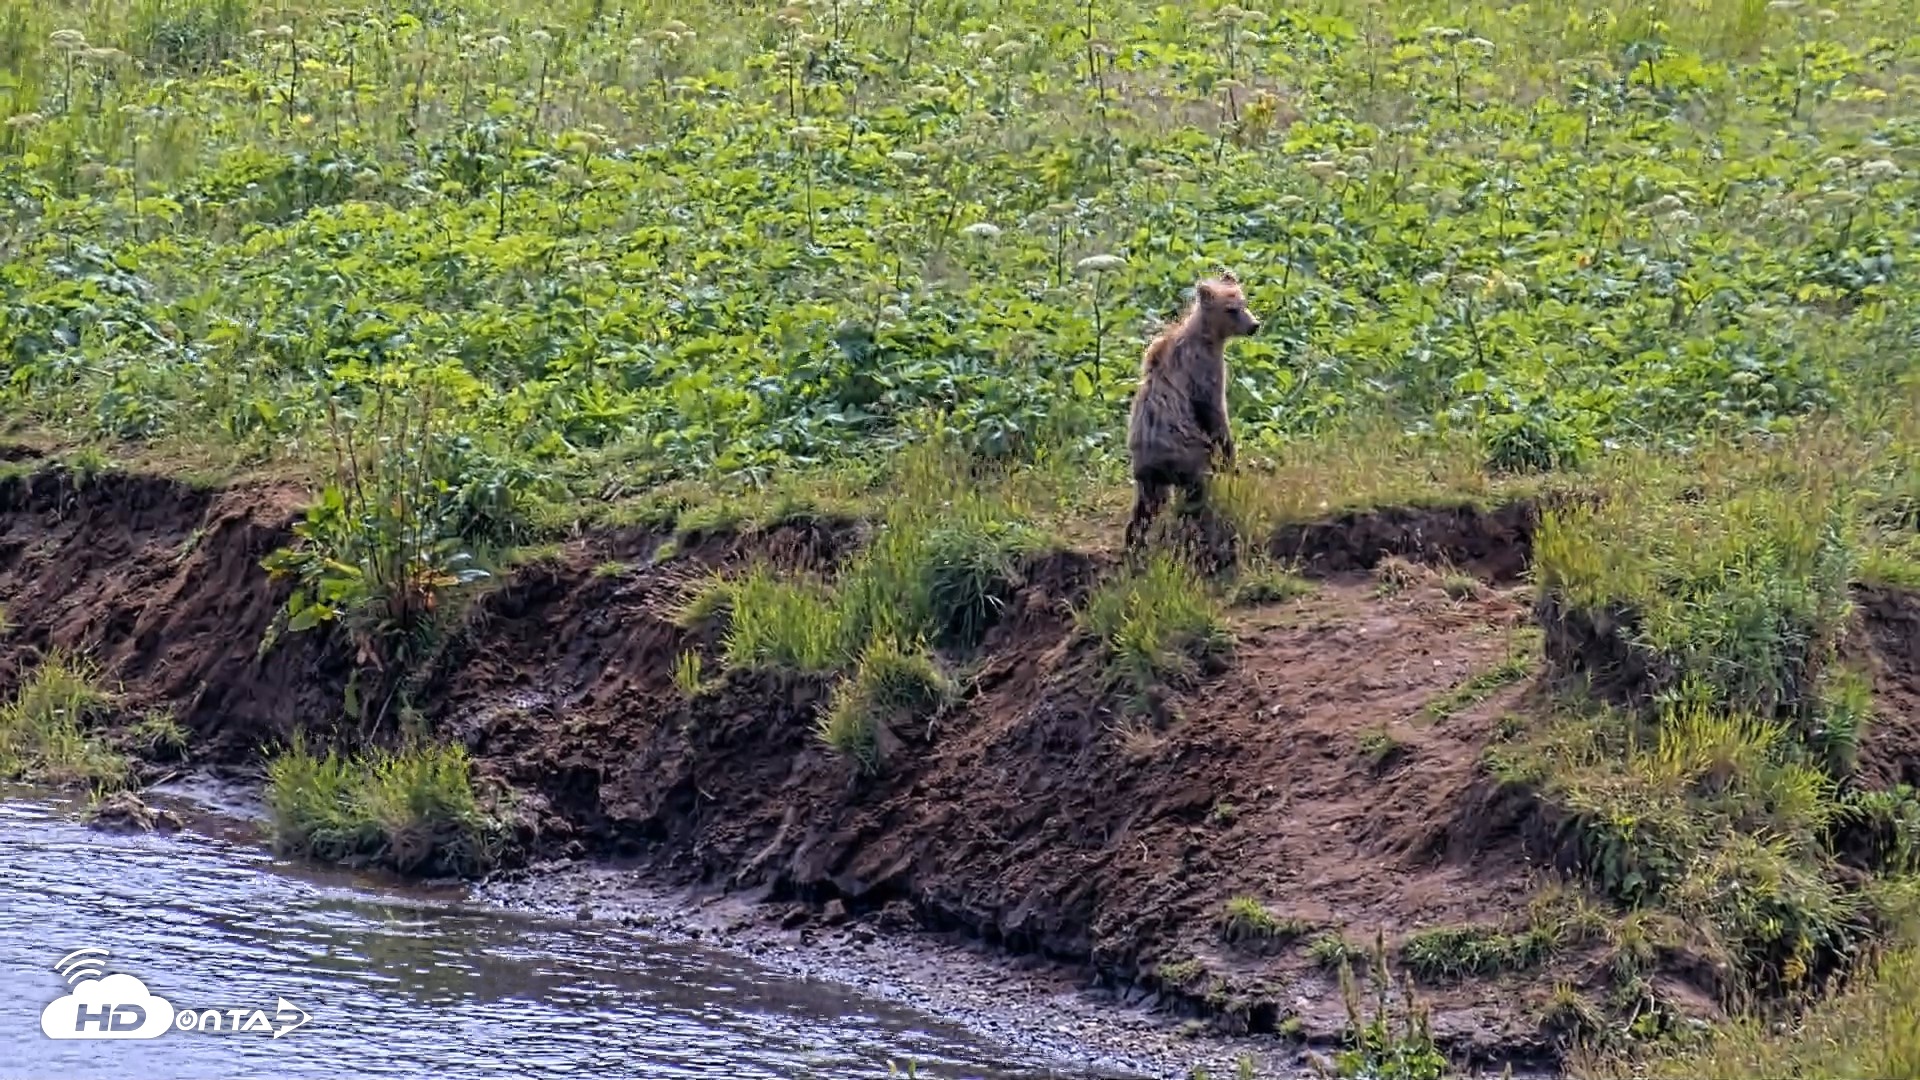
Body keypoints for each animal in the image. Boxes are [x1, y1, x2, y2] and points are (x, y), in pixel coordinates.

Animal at [1124, 269, 1261, 554]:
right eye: (1231, 309)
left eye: (1244, 302)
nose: (1255, 325)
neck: (1209, 337)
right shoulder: (1204, 370)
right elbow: (1216, 413)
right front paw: (1232, 461)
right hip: (1188, 455)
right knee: (1195, 492)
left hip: (1148, 476)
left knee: (1146, 507)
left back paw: (1134, 542)